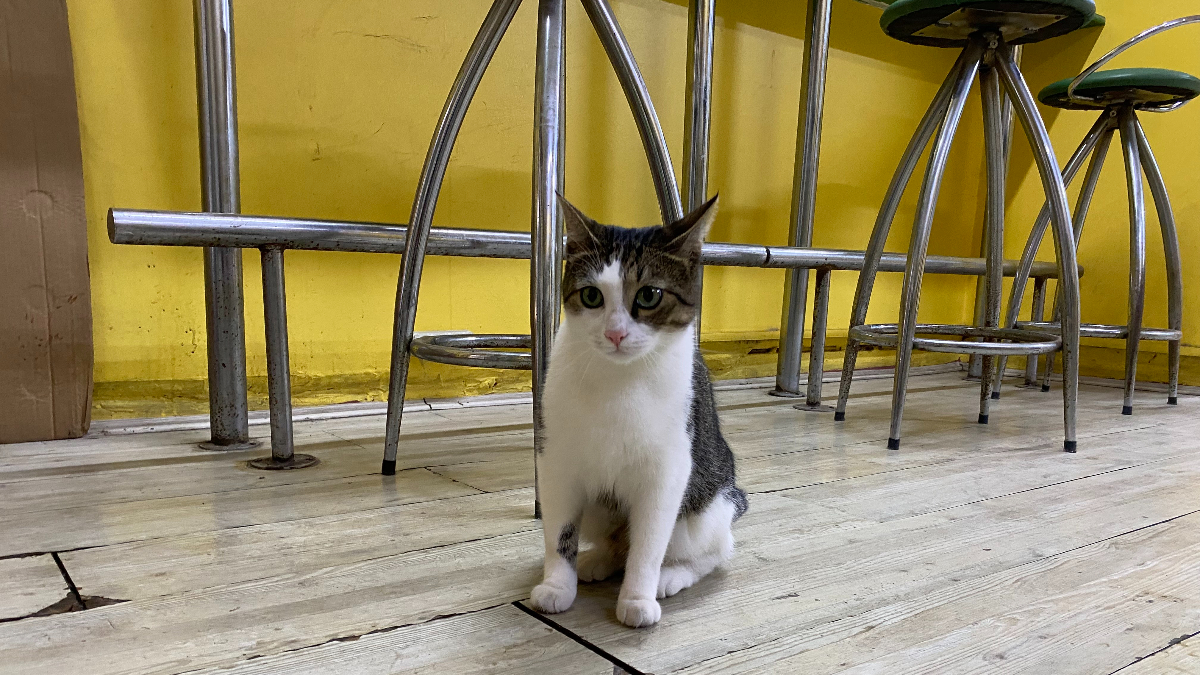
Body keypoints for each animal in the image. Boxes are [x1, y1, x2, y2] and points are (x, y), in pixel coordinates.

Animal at [529, 194, 748, 628]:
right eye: (592, 296)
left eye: (648, 295)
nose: (615, 333)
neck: (619, 379)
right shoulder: (556, 460)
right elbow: (560, 532)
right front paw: (557, 586)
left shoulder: (667, 470)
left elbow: (648, 545)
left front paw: (637, 597)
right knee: (617, 541)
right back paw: (598, 558)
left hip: (707, 506)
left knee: (714, 550)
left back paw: (672, 575)